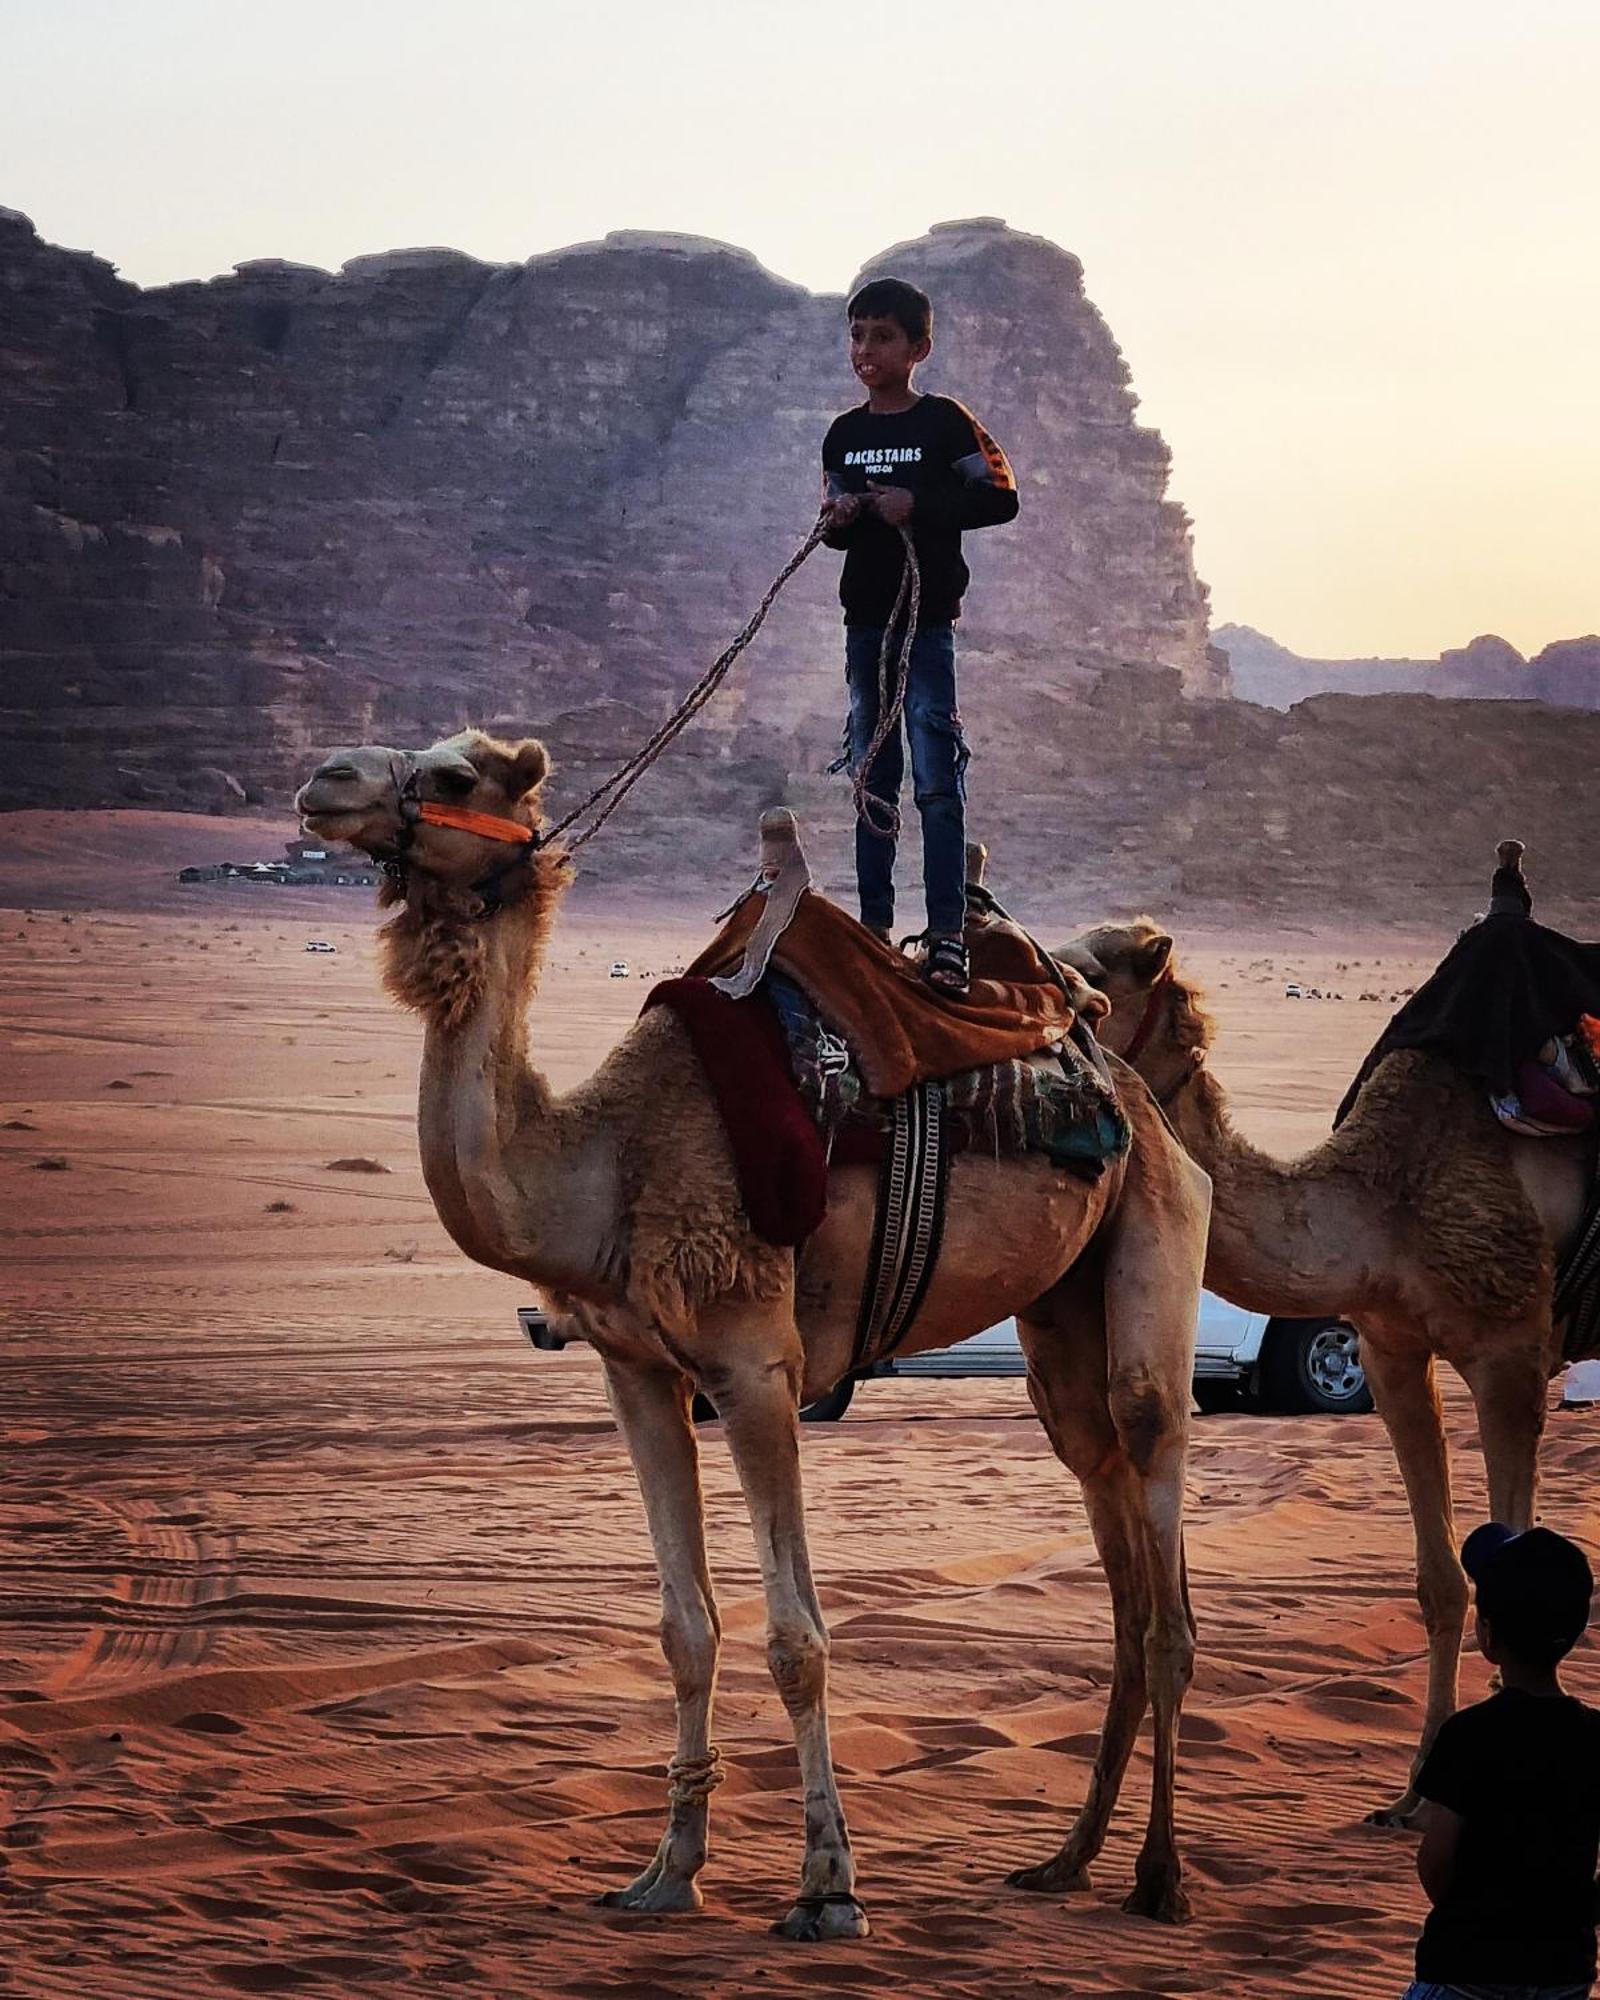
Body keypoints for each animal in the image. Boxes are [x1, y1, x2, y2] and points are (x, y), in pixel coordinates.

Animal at [296, 736, 1216, 1936]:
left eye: (454, 775)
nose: (324, 782)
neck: (603, 1164)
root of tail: (1128, 1086)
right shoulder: (637, 1372)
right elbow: (684, 1628)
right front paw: (665, 1871)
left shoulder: (756, 1367)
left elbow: (796, 1637)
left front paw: (828, 1885)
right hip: (1061, 1312)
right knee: (1108, 1519)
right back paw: (1066, 1859)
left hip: (1156, 1235)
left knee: (1161, 1555)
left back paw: (1159, 1875)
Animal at [1056, 916, 1592, 1824]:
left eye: (1094, 982)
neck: (1381, 1206)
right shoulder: (1391, 1351)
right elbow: (1441, 1581)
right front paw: (1411, 1798)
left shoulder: (1510, 1352)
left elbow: (1511, 1570)